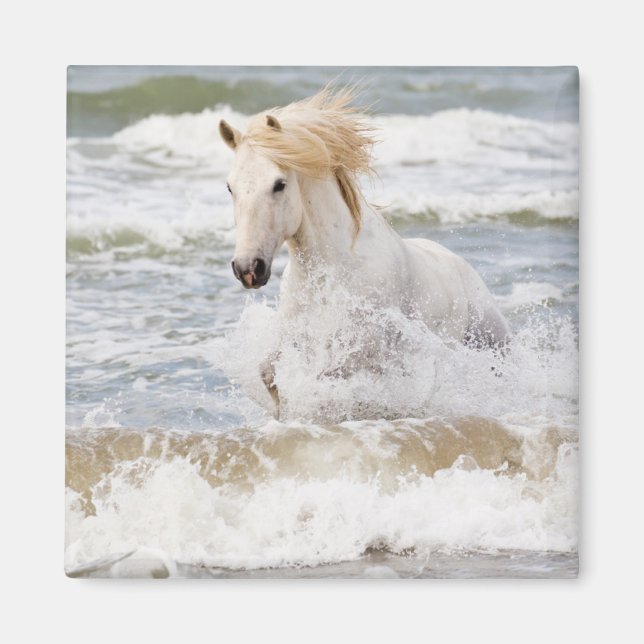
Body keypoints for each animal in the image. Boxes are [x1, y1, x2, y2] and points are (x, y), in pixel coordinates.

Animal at [219, 88, 509, 418]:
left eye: (279, 184)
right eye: (230, 187)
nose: (248, 268)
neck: (335, 268)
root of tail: (459, 263)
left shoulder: (364, 349)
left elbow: (325, 380)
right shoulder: (297, 333)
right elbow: (268, 373)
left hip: (491, 341)